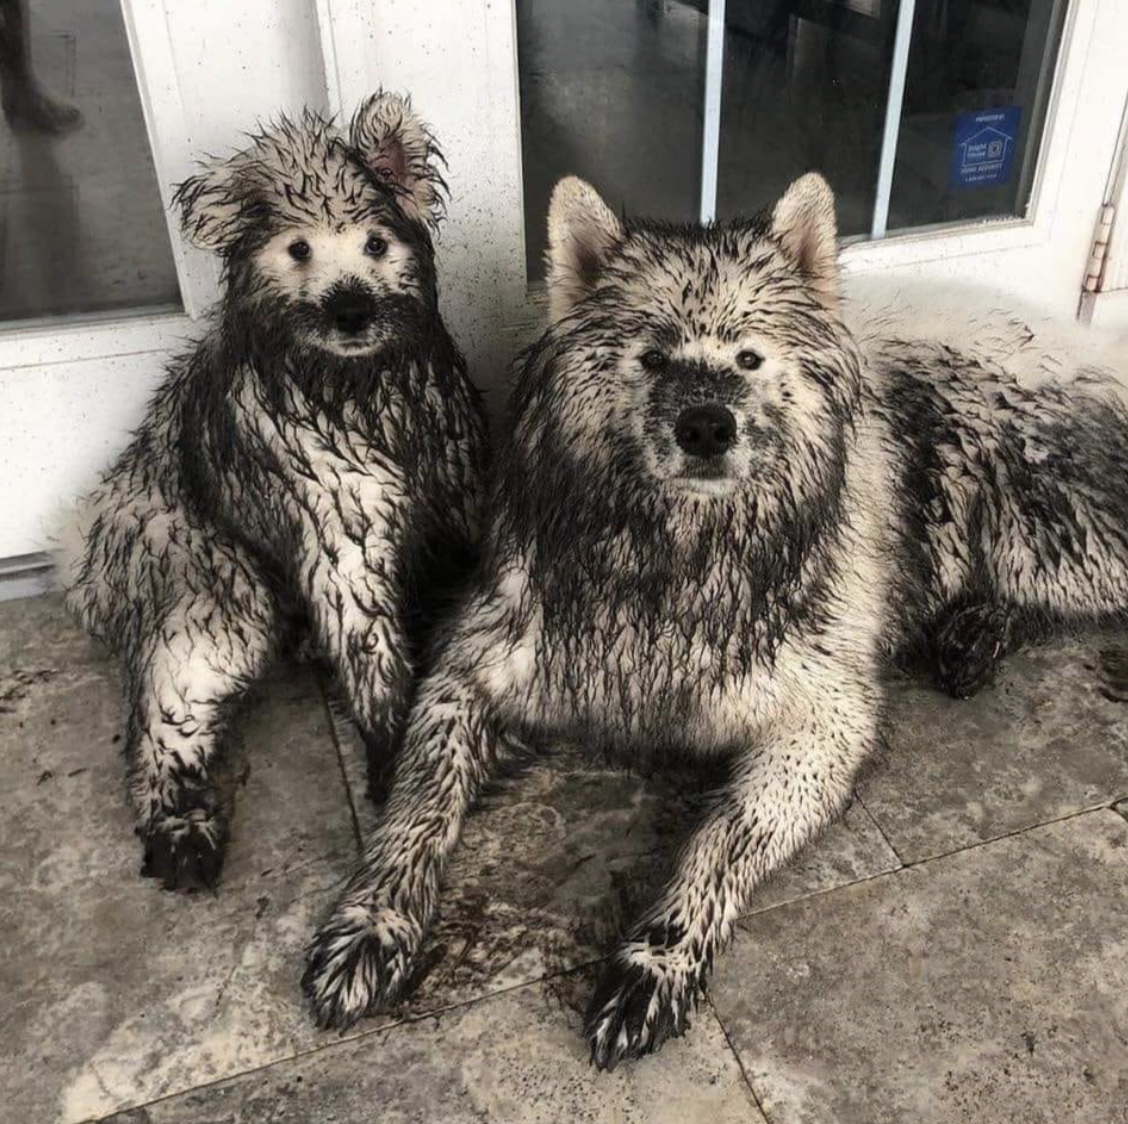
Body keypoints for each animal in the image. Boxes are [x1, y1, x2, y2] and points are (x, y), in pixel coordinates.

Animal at [57, 91, 487, 889]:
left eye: (376, 243)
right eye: (297, 250)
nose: (351, 310)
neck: (362, 391)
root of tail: (83, 543)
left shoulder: (464, 493)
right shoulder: (342, 543)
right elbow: (374, 660)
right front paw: (394, 762)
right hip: (209, 592)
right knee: (160, 721)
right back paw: (181, 831)